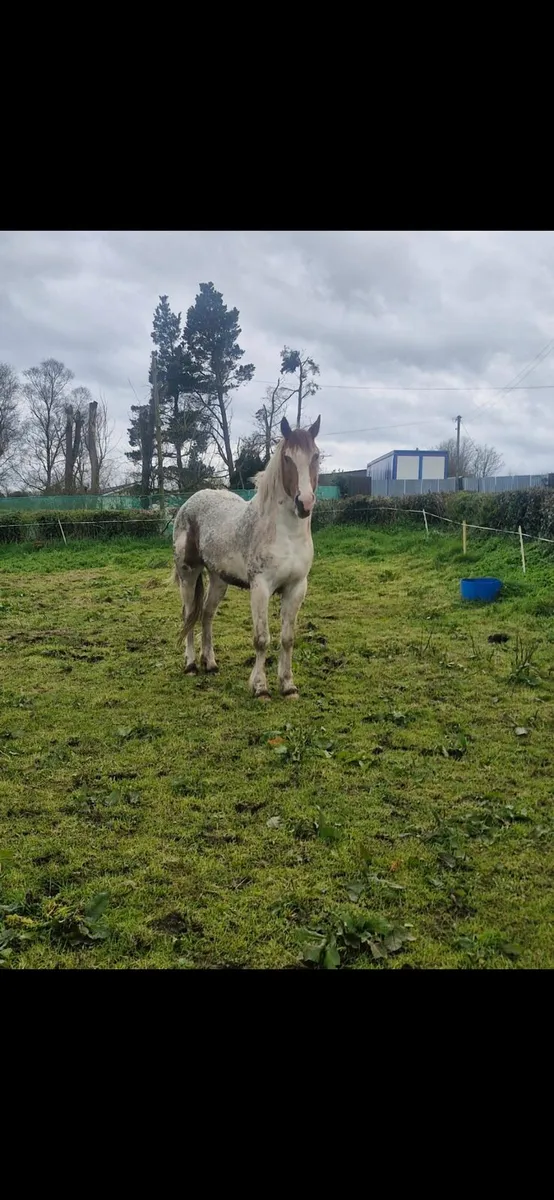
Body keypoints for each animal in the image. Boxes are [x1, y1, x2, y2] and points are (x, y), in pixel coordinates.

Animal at [172, 415, 321, 699]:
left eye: (316, 456)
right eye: (287, 458)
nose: (305, 503)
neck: (285, 534)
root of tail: (188, 503)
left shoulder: (297, 587)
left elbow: (287, 638)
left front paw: (288, 686)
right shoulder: (260, 588)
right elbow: (261, 639)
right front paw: (260, 688)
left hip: (219, 579)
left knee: (206, 615)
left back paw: (210, 663)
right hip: (189, 573)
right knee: (189, 615)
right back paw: (191, 665)